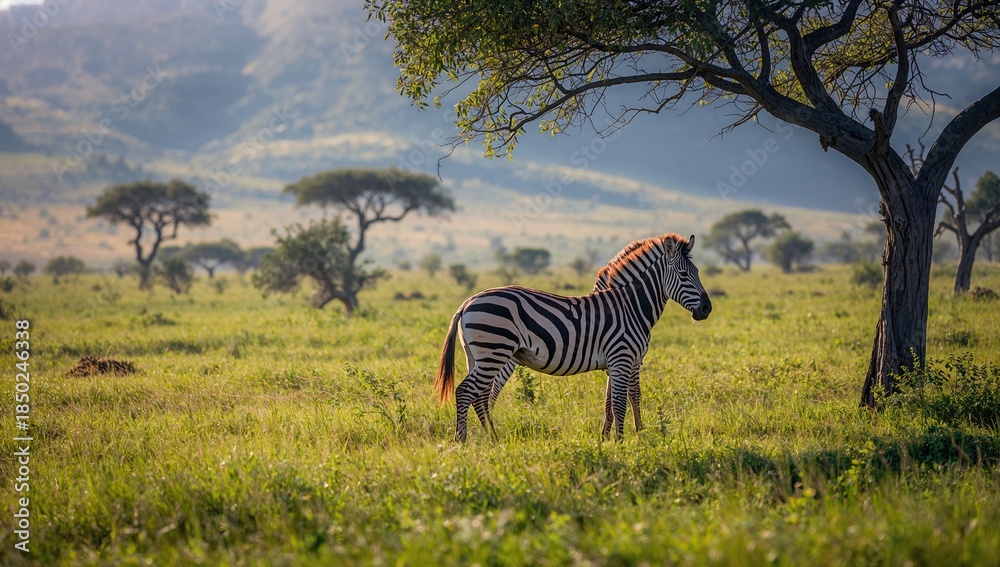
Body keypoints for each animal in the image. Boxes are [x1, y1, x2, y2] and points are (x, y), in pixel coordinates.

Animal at [435, 233, 712, 441]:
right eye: (685, 275)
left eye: (699, 272)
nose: (707, 309)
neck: (630, 306)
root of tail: (467, 302)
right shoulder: (624, 359)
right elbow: (623, 400)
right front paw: (624, 441)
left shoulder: (618, 363)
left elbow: (615, 402)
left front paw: (612, 438)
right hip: (494, 352)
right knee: (466, 392)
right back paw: (462, 440)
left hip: (479, 356)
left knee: (480, 395)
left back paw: (492, 438)